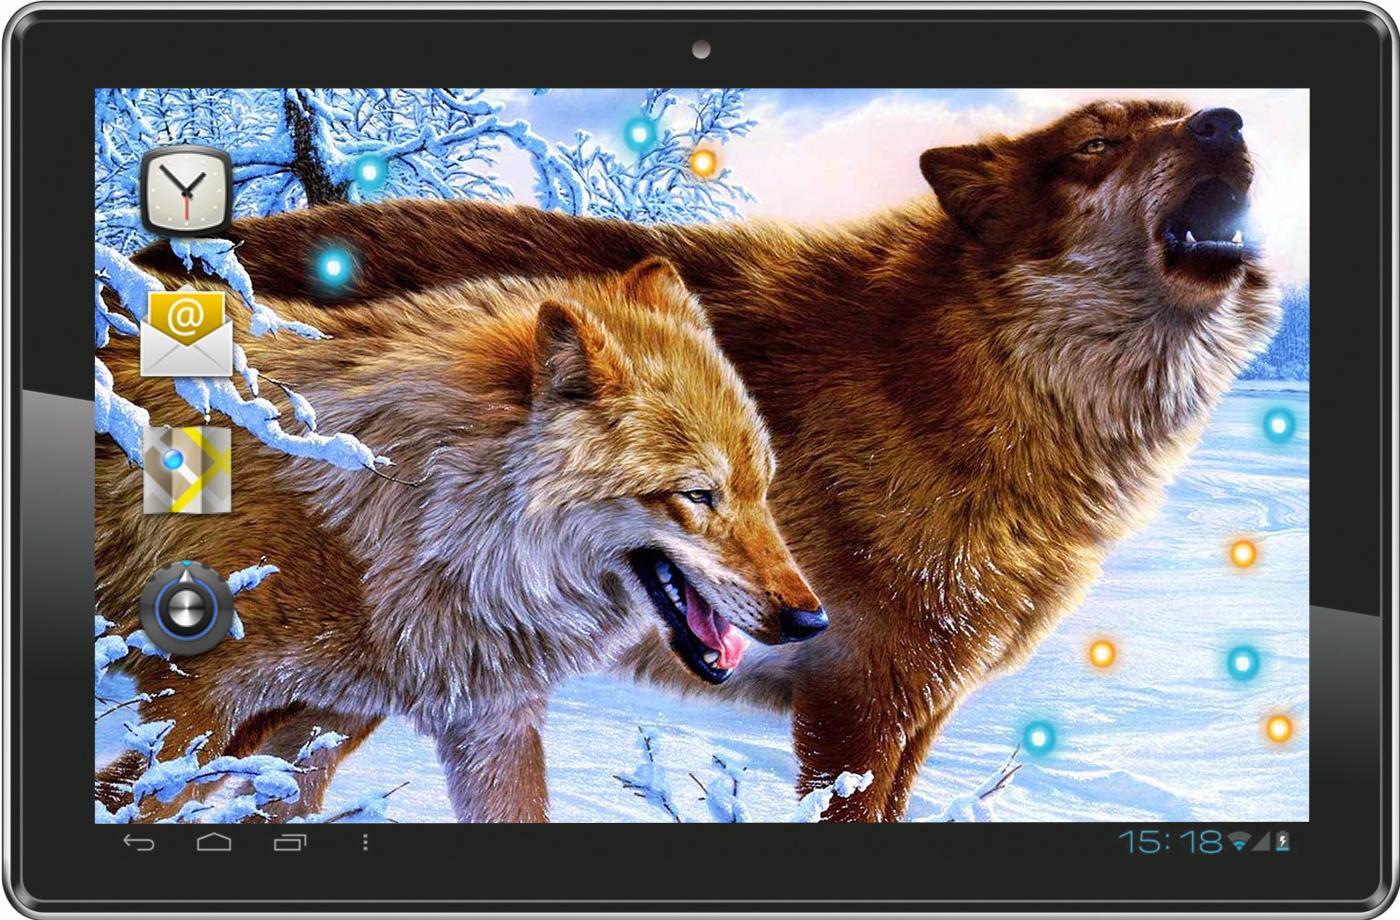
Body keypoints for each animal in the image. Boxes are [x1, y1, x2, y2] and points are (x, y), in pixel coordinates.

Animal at [94, 257, 827, 822]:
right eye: (699, 495)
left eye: (762, 487)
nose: (811, 621)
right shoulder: (190, 706)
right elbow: (132, 800)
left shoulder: (426, 723)